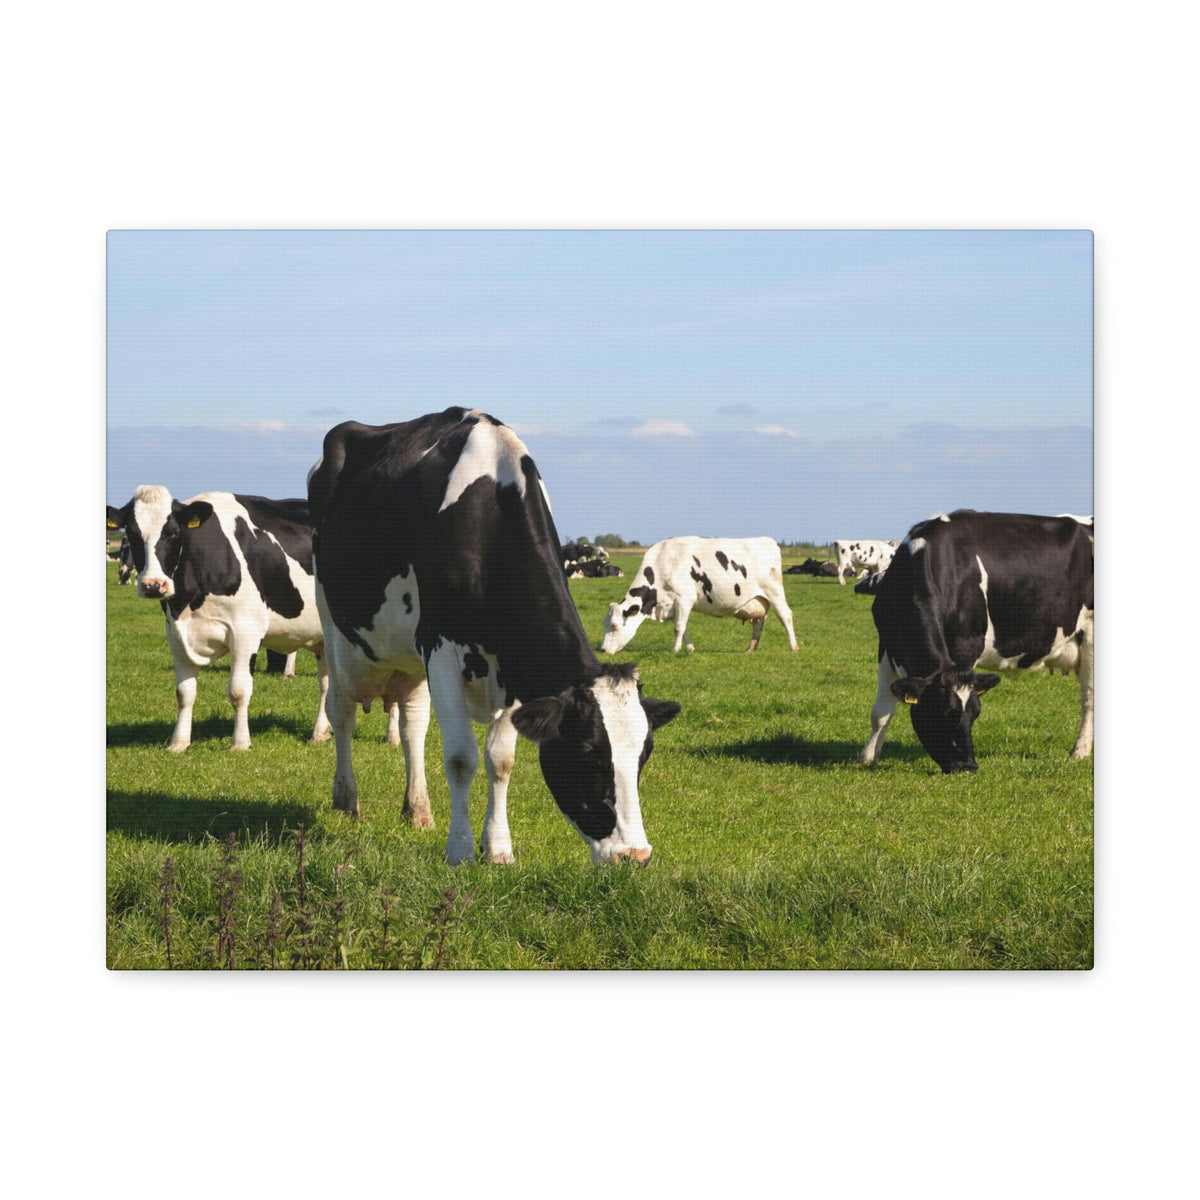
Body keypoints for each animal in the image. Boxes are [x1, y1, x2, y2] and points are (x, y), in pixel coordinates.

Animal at [105, 485, 333, 752]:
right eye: (132, 533)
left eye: (172, 533)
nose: (153, 585)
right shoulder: (176, 634)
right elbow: (184, 692)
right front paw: (178, 743)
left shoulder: (246, 632)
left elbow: (238, 691)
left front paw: (241, 743)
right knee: (327, 682)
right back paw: (320, 733)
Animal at [307, 407, 681, 866]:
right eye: (588, 754)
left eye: (645, 754)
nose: (636, 855)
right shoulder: (439, 647)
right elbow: (460, 757)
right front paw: (461, 851)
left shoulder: (515, 662)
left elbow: (500, 760)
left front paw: (498, 848)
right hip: (335, 627)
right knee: (341, 709)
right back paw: (346, 798)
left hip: (409, 657)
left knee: (413, 725)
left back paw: (418, 809)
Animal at [600, 536, 798, 654]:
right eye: (605, 624)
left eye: (615, 625)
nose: (602, 650)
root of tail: (767, 540)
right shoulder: (674, 605)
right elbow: (683, 628)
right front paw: (689, 648)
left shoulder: (684, 598)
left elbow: (678, 628)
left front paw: (675, 650)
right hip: (758, 600)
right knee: (758, 622)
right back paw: (750, 649)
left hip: (774, 591)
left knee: (786, 616)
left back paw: (793, 647)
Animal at [859, 510, 1094, 774]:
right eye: (942, 712)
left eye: (975, 714)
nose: (968, 766)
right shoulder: (886, 645)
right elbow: (881, 712)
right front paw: (868, 757)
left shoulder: (966, 647)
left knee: (1089, 700)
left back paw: (1079, 752)